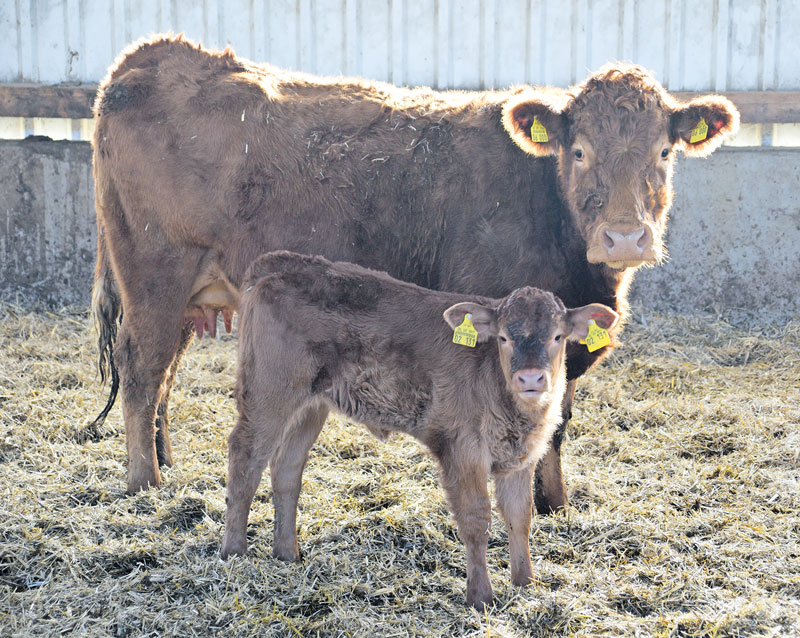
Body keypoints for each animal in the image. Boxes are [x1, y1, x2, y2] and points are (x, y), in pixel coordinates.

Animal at [89, 36, 736, 504]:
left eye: (663, 152)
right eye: (579, 152)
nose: (625, 237)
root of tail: (155, 57)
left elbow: (557, 418)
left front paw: (555, 503)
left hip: (187, 293)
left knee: (165, 374)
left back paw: (165, 462)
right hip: (155, 275)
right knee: (143, 371)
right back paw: (144, 483)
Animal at [219, 250, 620, 608]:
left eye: (557, 337)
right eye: (504, 338)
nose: (531, 378)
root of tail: (280, 263)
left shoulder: (520, 459)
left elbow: (520, 518)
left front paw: (526, 583)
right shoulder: (462, 451)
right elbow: (476, 519)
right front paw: (481, 597)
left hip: (310, 404)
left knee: (286, 468)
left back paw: (287, 552)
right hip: (269, 391)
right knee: (245, 457)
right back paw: (234, 551)